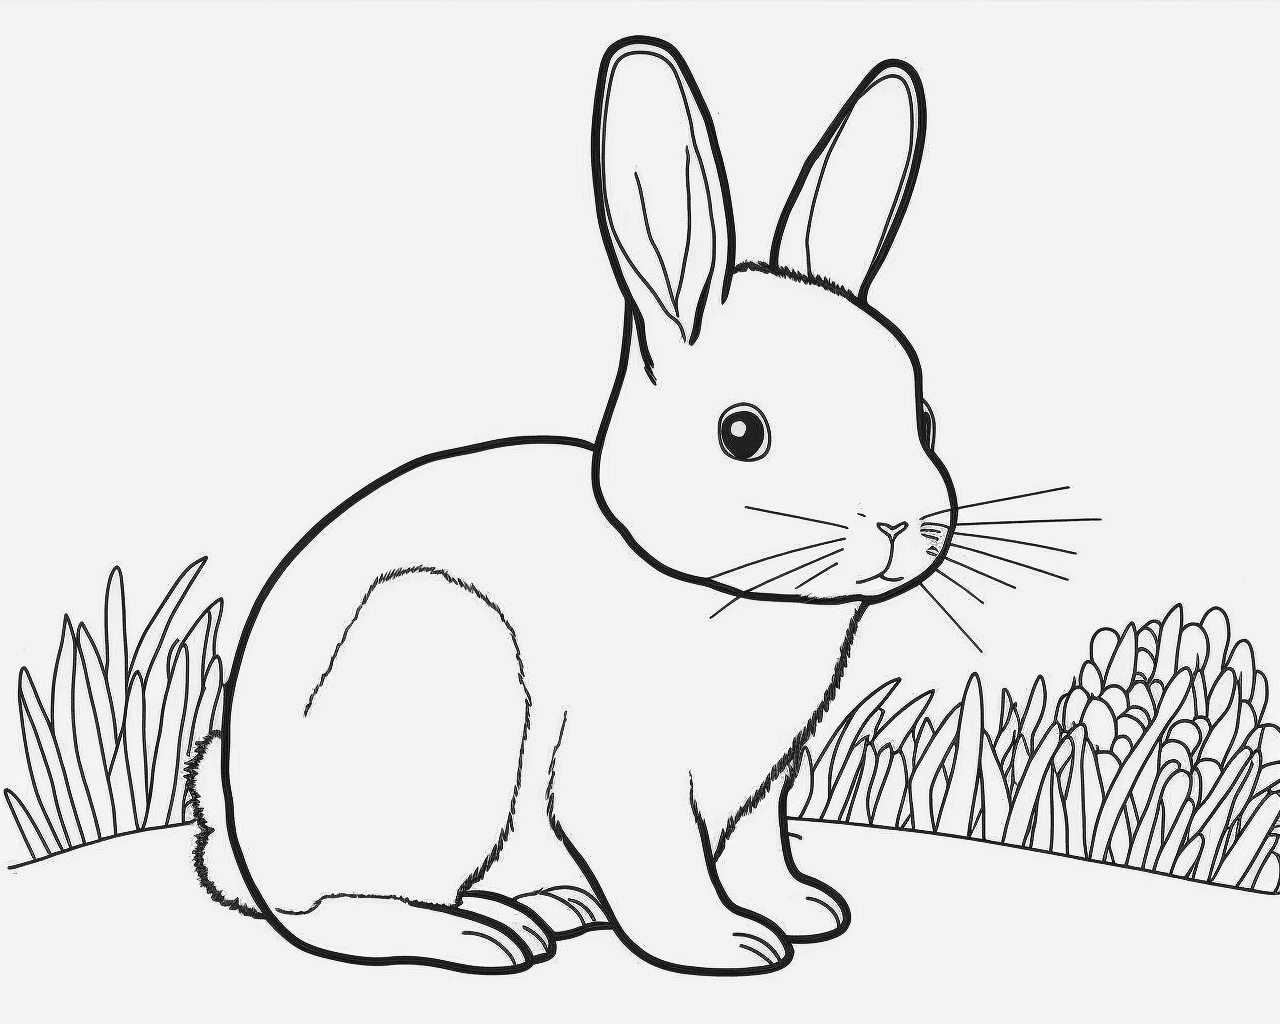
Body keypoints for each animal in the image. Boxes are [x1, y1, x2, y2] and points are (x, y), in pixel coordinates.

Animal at [190, 35, 957, 976]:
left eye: (925, 417)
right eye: (743, 433)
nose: (897, 526)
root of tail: (242, 836)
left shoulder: (763, 788)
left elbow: (757, 853)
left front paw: (804, 910)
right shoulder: (625, 776)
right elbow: (659, 867)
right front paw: (731, 942)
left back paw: (553, 905)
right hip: (439, 658)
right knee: (331, 915)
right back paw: (485, 934)